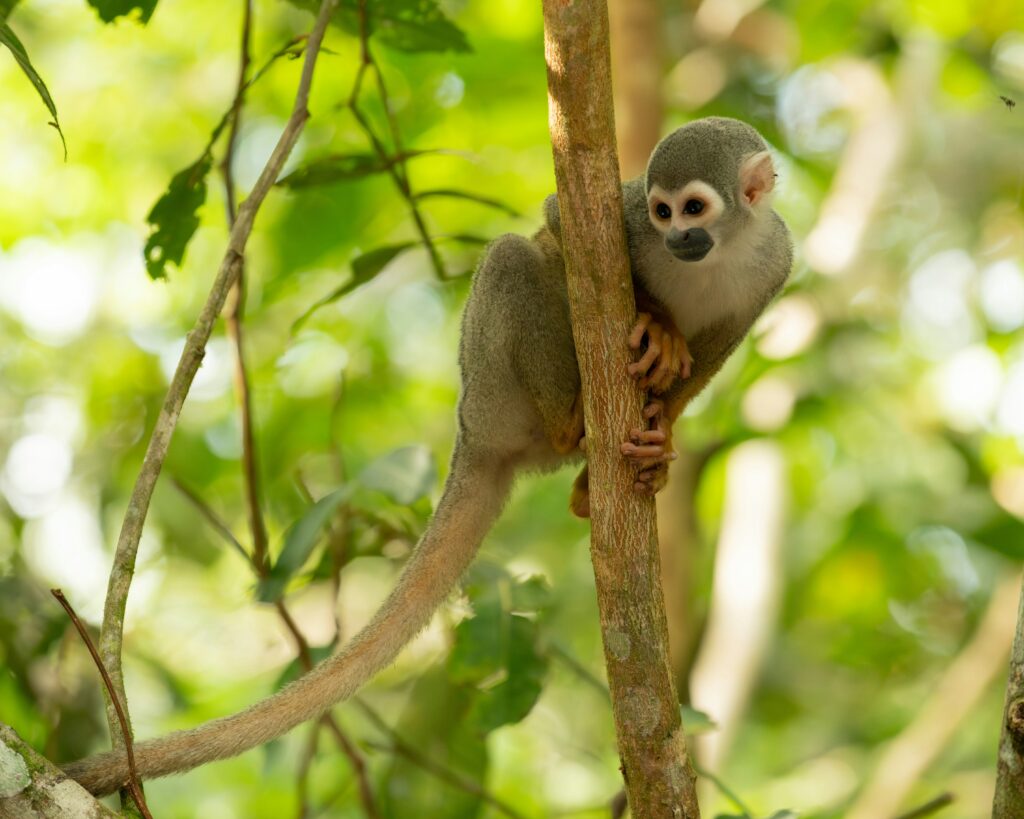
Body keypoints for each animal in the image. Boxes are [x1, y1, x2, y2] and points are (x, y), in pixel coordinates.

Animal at [63, 116, 792, 796]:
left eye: (695, 209)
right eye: (665, 211)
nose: (678, 240)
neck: (720, 252)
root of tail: (479, 440)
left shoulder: (775, 263)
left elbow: (725, 337)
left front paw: (661, 425)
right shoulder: (630, 219)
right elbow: (561, 222)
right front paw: (659, 323)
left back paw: (602, 469)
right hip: (492, 387)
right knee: (514, 257)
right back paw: (573, 423)